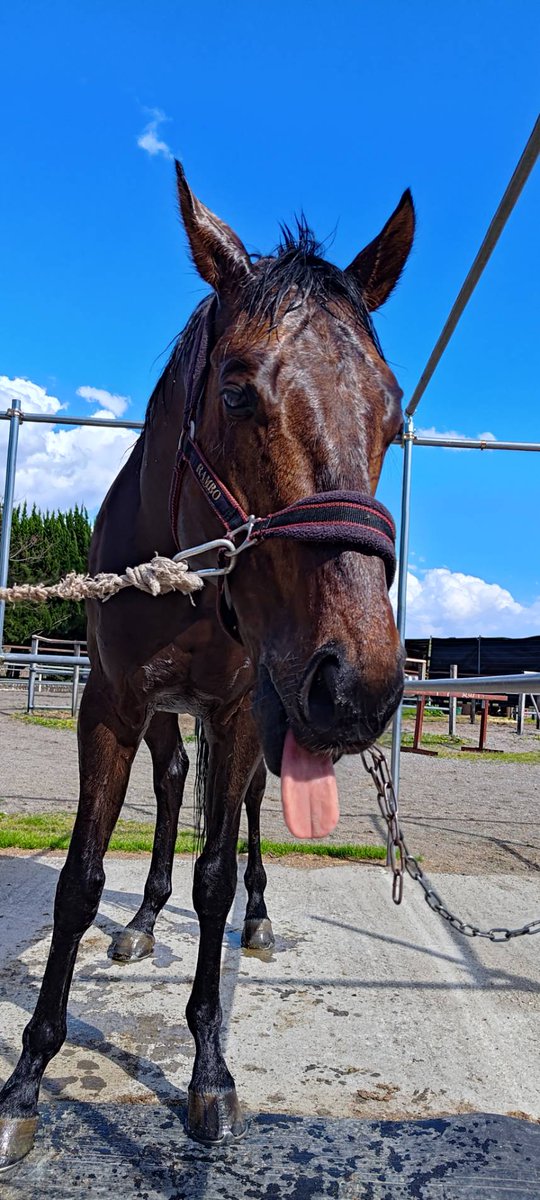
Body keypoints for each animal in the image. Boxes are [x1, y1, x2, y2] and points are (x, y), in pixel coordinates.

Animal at [0, 163, 414, 1165]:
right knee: (172, 785)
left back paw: (260, 919)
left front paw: (210, 1071)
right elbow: (79, 882)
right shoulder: (112, 707)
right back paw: (144, 921)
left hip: (263, 720)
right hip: (181, 713)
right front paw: (28, 1076)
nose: (361, 687)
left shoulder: (237, 711)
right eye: (234, 390)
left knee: (252, 815)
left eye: (391, 413)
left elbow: (217, 878)